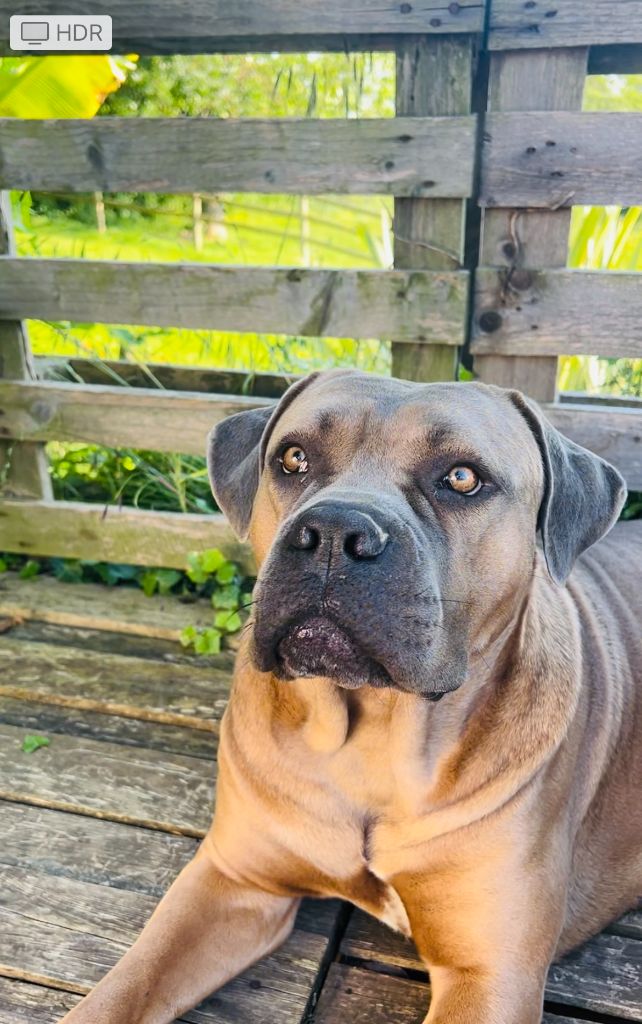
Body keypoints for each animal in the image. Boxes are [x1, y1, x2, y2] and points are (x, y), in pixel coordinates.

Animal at [62, 370, 641, 1024]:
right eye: (293, 458)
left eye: (463, 477)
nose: (336, 533)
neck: (372, 745)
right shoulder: (234, 882)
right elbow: (123, 990)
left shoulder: (490, 977)